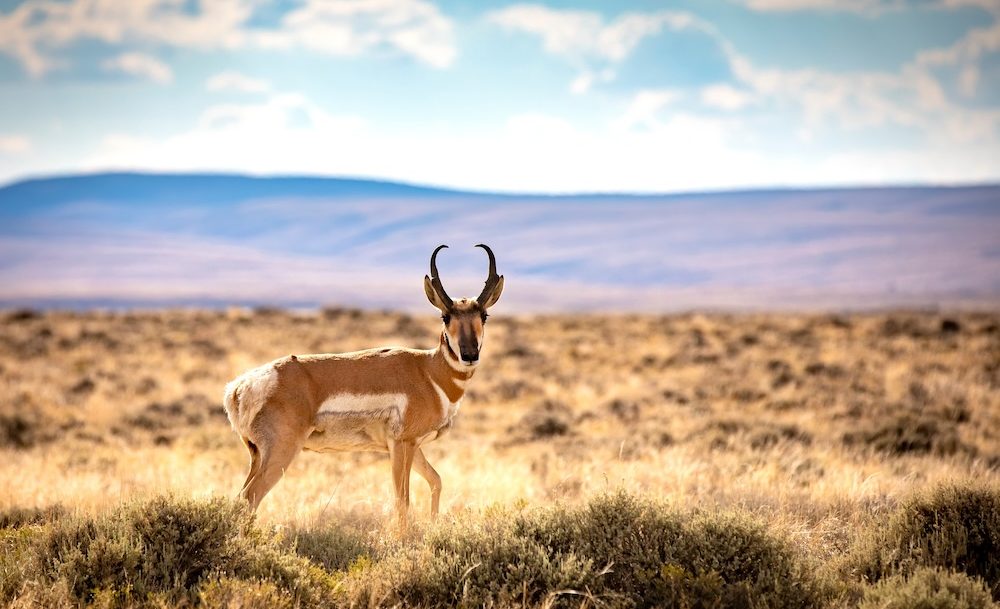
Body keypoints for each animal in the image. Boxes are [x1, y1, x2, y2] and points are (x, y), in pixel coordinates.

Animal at [222, 244, 504, 531]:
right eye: (445, 316)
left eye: (484, 315)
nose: (469, 355)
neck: (429, 371)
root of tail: (238, 388)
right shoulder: (402, 444)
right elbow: (402, 501)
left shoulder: (413, 446)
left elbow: (436, 480)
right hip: (281, 452)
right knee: (249, 497)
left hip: (257, 456)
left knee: (240, 499)